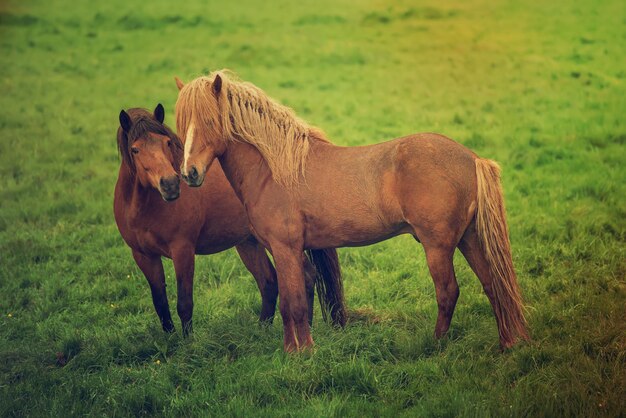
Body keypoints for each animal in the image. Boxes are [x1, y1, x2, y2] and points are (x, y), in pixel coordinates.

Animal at [112, 105, 346, 336]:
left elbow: (184, 304)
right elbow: (160, 303)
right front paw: (171, 341)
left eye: (167, 143)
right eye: (135, 149)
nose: (170, 184)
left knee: (304, 275)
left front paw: (188, 344)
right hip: (250, 242)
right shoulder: (144, 256)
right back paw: (261, 331)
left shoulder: (183, 250)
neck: (145, 208)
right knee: (269, 282)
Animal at [173, 72, 528, 352]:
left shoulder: (285, 248)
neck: (275, 170)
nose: (189, 173)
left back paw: (436, 344)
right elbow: (296, 298)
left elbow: (293, 303)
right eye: (181, 125)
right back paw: (507, 343)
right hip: (469, 238)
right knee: (493, 285)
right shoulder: (292, 250)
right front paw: (296, 347)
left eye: (209, 121)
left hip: (438, 246)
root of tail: (472, 158)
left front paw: (300, 354)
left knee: (448, 292)